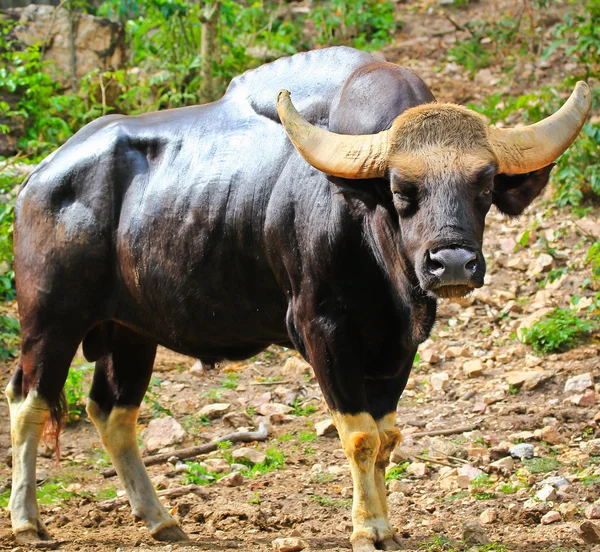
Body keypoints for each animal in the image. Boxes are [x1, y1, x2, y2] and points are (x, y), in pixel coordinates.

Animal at [5, 48, 592, 552]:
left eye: (485, 187)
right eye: (402, 190)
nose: (451, 264)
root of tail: (37, 180)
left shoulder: (399, 347)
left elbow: (387, 436)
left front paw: (387, 526)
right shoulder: (323, 331)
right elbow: (360, 437)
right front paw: (367, 529)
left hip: (130, 332)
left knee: (112, 412)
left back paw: (161, 520)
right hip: (50, 318)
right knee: (28, 401)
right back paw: (27, 520)